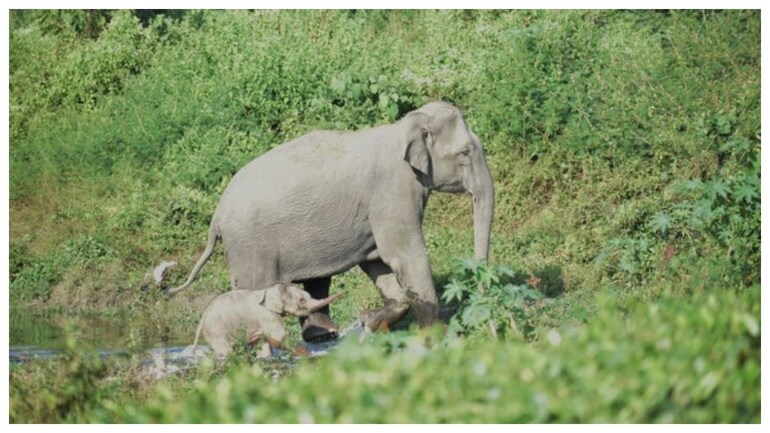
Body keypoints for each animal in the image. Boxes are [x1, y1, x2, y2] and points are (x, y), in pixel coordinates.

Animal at [170, 101, 495, 339]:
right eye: (465, 153)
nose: (481, 301)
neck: (405, 126)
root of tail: (216, 217)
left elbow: (377, 260)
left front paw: (369, 322)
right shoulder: (393, 191)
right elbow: (404, 254)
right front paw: (435, 336)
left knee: (317, 281)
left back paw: (323, 336)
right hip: (249, 248)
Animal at [192, 283, 342, 357]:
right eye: (302, 300)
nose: (342, 292)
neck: (268, 290)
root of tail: (202, 318)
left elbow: (262, 343)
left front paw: (265, 359)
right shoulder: (266, 315)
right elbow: (280, 336)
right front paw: (308, 356)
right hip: (216, 332)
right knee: (226, 351)